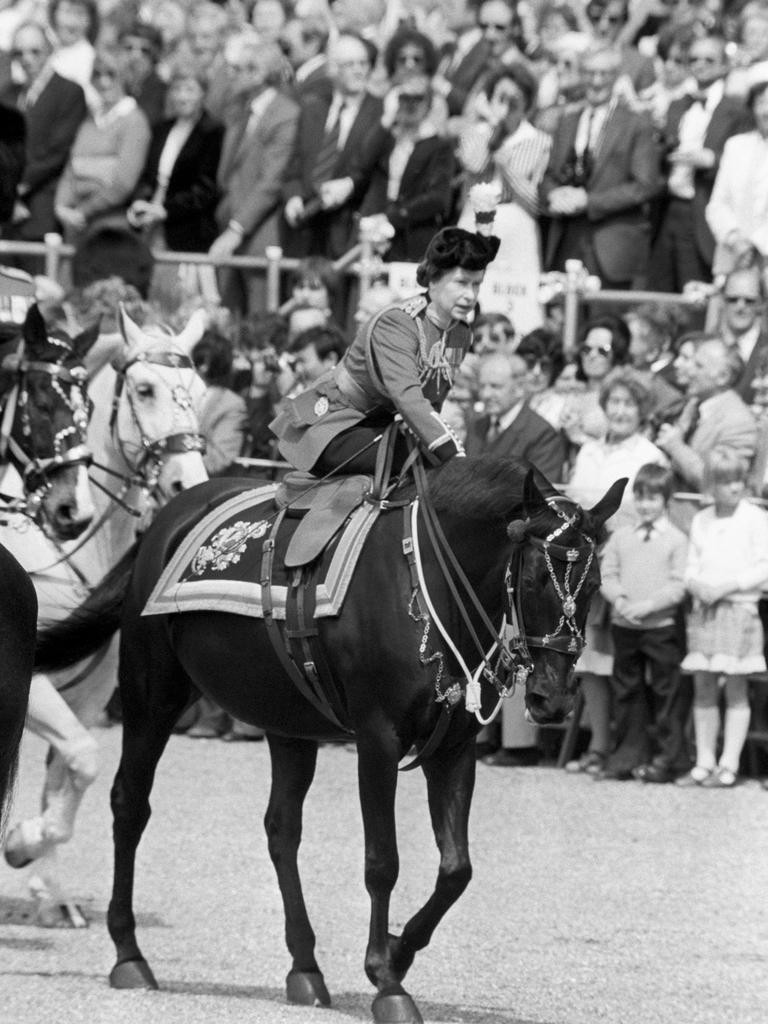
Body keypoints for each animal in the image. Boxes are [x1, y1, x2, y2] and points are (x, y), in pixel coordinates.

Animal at [2, 305, 210, 929]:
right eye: (144, 390)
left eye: (199, 391)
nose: (188, 483)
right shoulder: (35, 685)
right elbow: (81, 759)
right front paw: (23, 842)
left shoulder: (89, 697)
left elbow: (68, 774)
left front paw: (46, 882)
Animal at [36, 458, 626, 1024]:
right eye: (535, 577)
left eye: (594, 584)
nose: (553, 699)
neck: (430, 583)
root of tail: (167, 518)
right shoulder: (378, 742)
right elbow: (383, 862)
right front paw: (386, 980)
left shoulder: (454, 748)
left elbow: (456, 869)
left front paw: (399, 952)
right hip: (151, 696)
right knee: (130, 805)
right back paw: (129, 953)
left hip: (287, 724)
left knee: (281, 831)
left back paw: (304, 969)